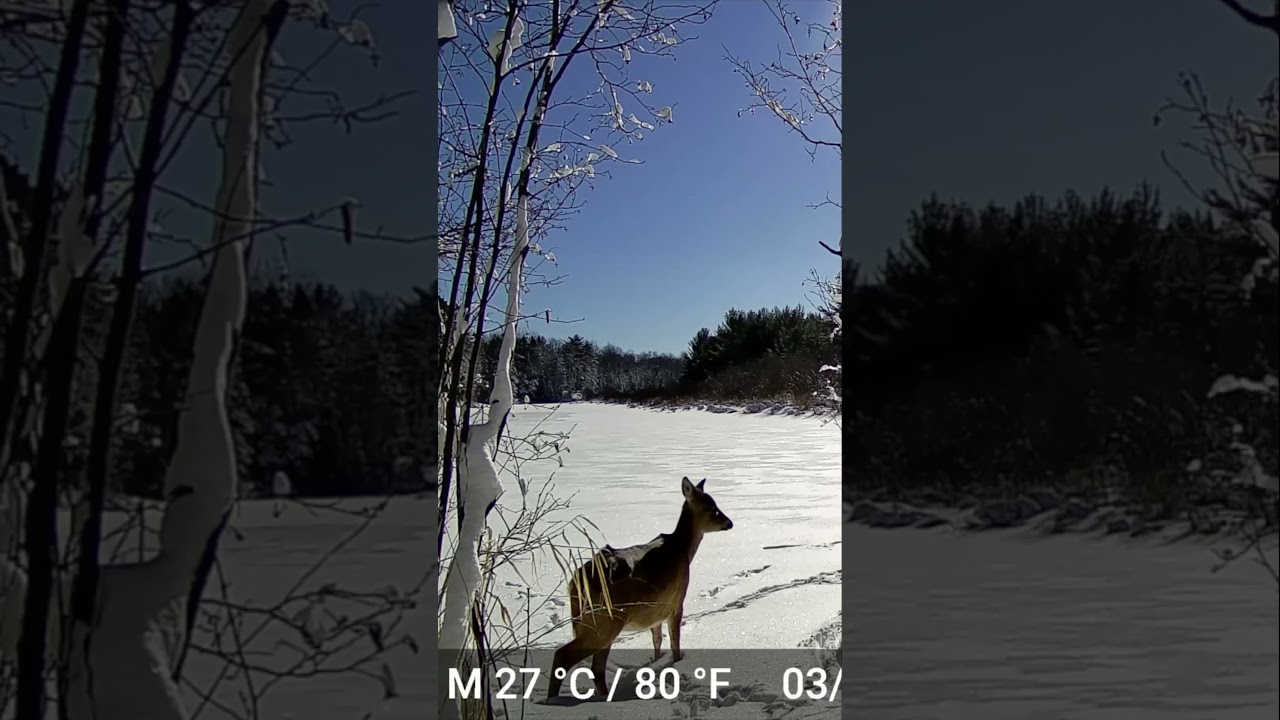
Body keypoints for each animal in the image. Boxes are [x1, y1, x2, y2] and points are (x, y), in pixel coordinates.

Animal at [546, 476, 734, 701]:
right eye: (712, 508)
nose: (729, 523)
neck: (683, 550)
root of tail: (576, 582)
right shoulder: (677, 600)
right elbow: (674, 641)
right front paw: (677, 664)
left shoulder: (656, 611)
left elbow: (657, 640)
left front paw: (655, 665)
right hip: (605, 621)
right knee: (564, 656)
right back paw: (554, 700)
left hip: (593, 621)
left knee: (596, 667)